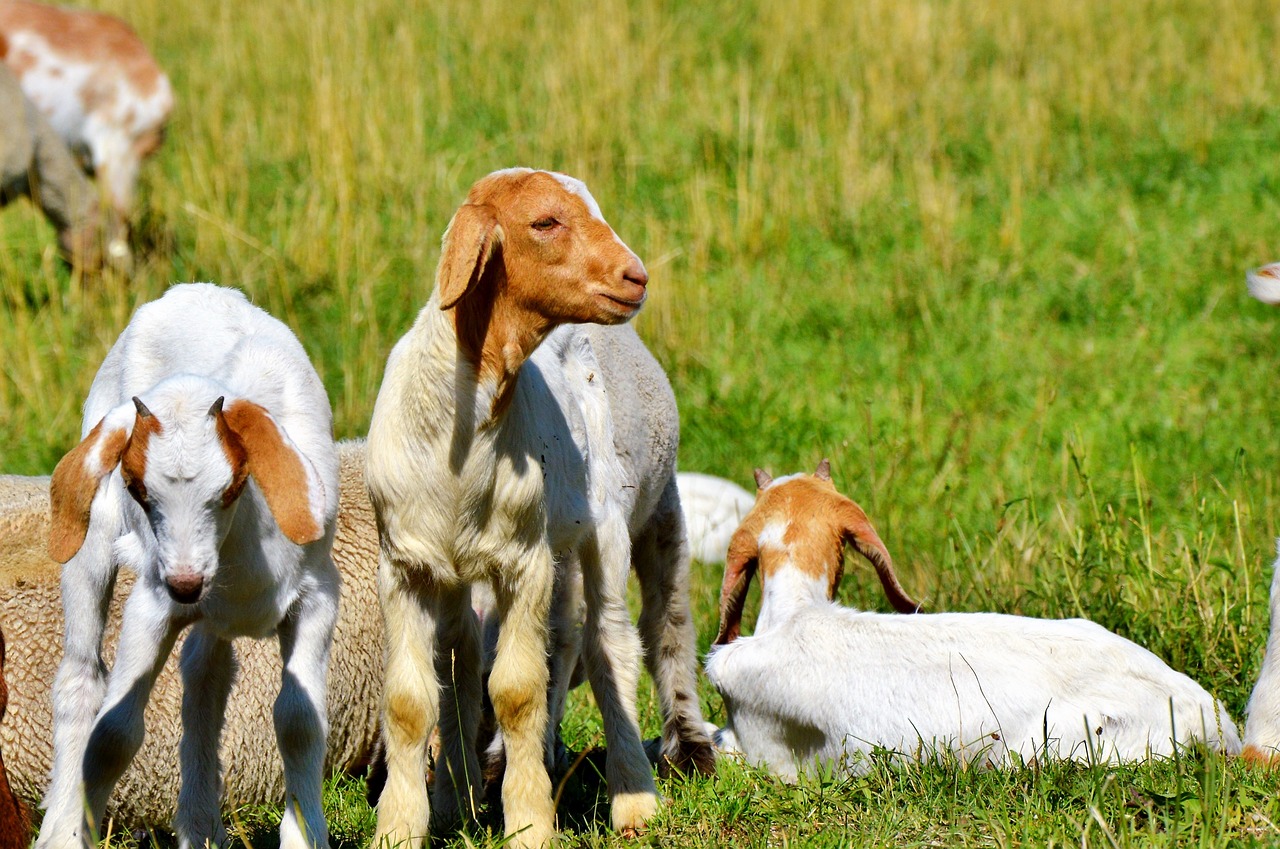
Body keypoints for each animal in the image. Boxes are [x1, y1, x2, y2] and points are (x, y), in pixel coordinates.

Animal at [366, 167, 716, 849]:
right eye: (545, 222)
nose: (636, 276)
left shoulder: (522, 560)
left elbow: (518, 691)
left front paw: (528, 821)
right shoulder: (405, 566)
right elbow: (412, 699)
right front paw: (400, 827)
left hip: (603, 529)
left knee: (612, 643)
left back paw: (634, 797)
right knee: (480, 656)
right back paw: (457, 799)